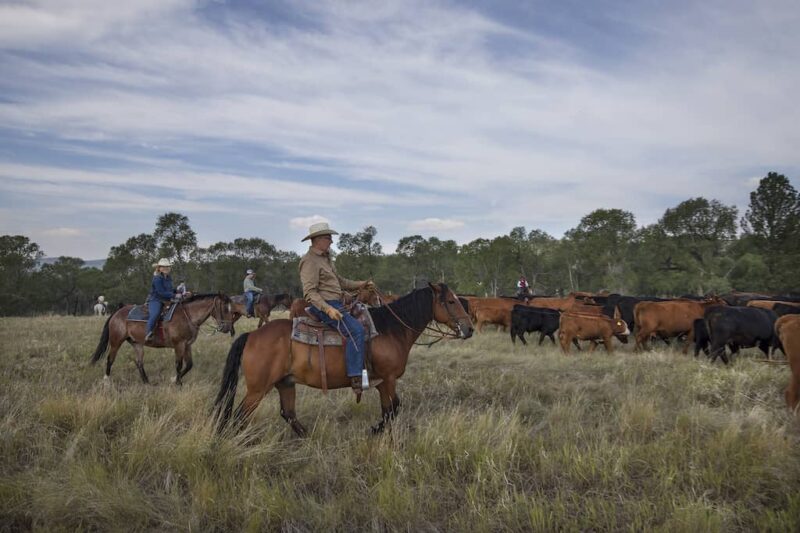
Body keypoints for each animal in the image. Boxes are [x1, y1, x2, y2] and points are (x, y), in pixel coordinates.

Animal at [92, 294, 234, 384]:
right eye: (224, 308)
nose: (228, 327)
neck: (187, 316)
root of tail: (117, 313)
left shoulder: (187, 345)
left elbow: (189, 365)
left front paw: (175, 379)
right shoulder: (179, 345)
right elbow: (179, 364)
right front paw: (177, 382)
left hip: (137, 344)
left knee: (139, 362)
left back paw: (146, 382)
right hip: (116, 341)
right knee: (110, 359)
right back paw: (106, 380)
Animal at [216, 282, 472, 432]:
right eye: (451, 301)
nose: (469, 329)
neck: (390, 330)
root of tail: (251, 335)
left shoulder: (382, 382)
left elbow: (392, 409)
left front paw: (376, 429)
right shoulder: (388, 379)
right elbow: (391, 410)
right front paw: (376, 431)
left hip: (285, 383)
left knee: (288, 414)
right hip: (257, 389)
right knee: (239, 417)